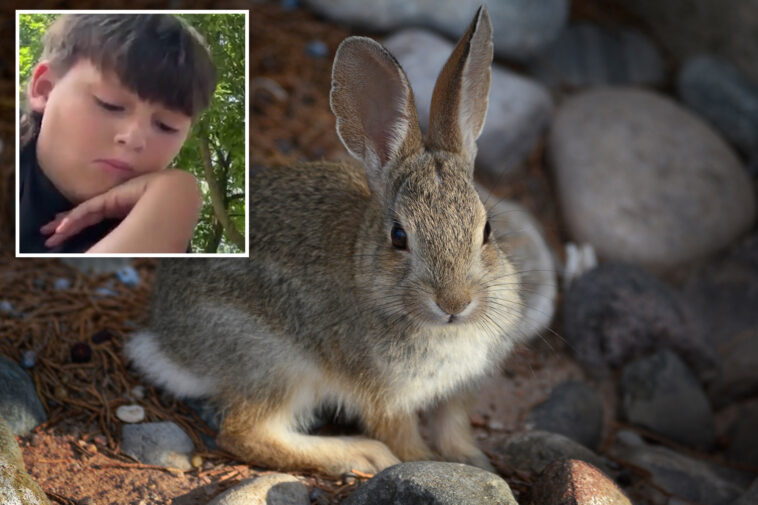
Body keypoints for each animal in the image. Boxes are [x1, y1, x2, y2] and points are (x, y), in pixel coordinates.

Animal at [125, 5, 525, 476]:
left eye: (487, 231)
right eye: (399, 236)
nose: (455, 303)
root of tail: (168, 342)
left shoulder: (458, 393)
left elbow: (453, 427)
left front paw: (475, 463)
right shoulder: (385, 397)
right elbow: (403, 439)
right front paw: (425, 462)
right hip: (277, 362)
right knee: (244, 434)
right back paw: (359, 454)